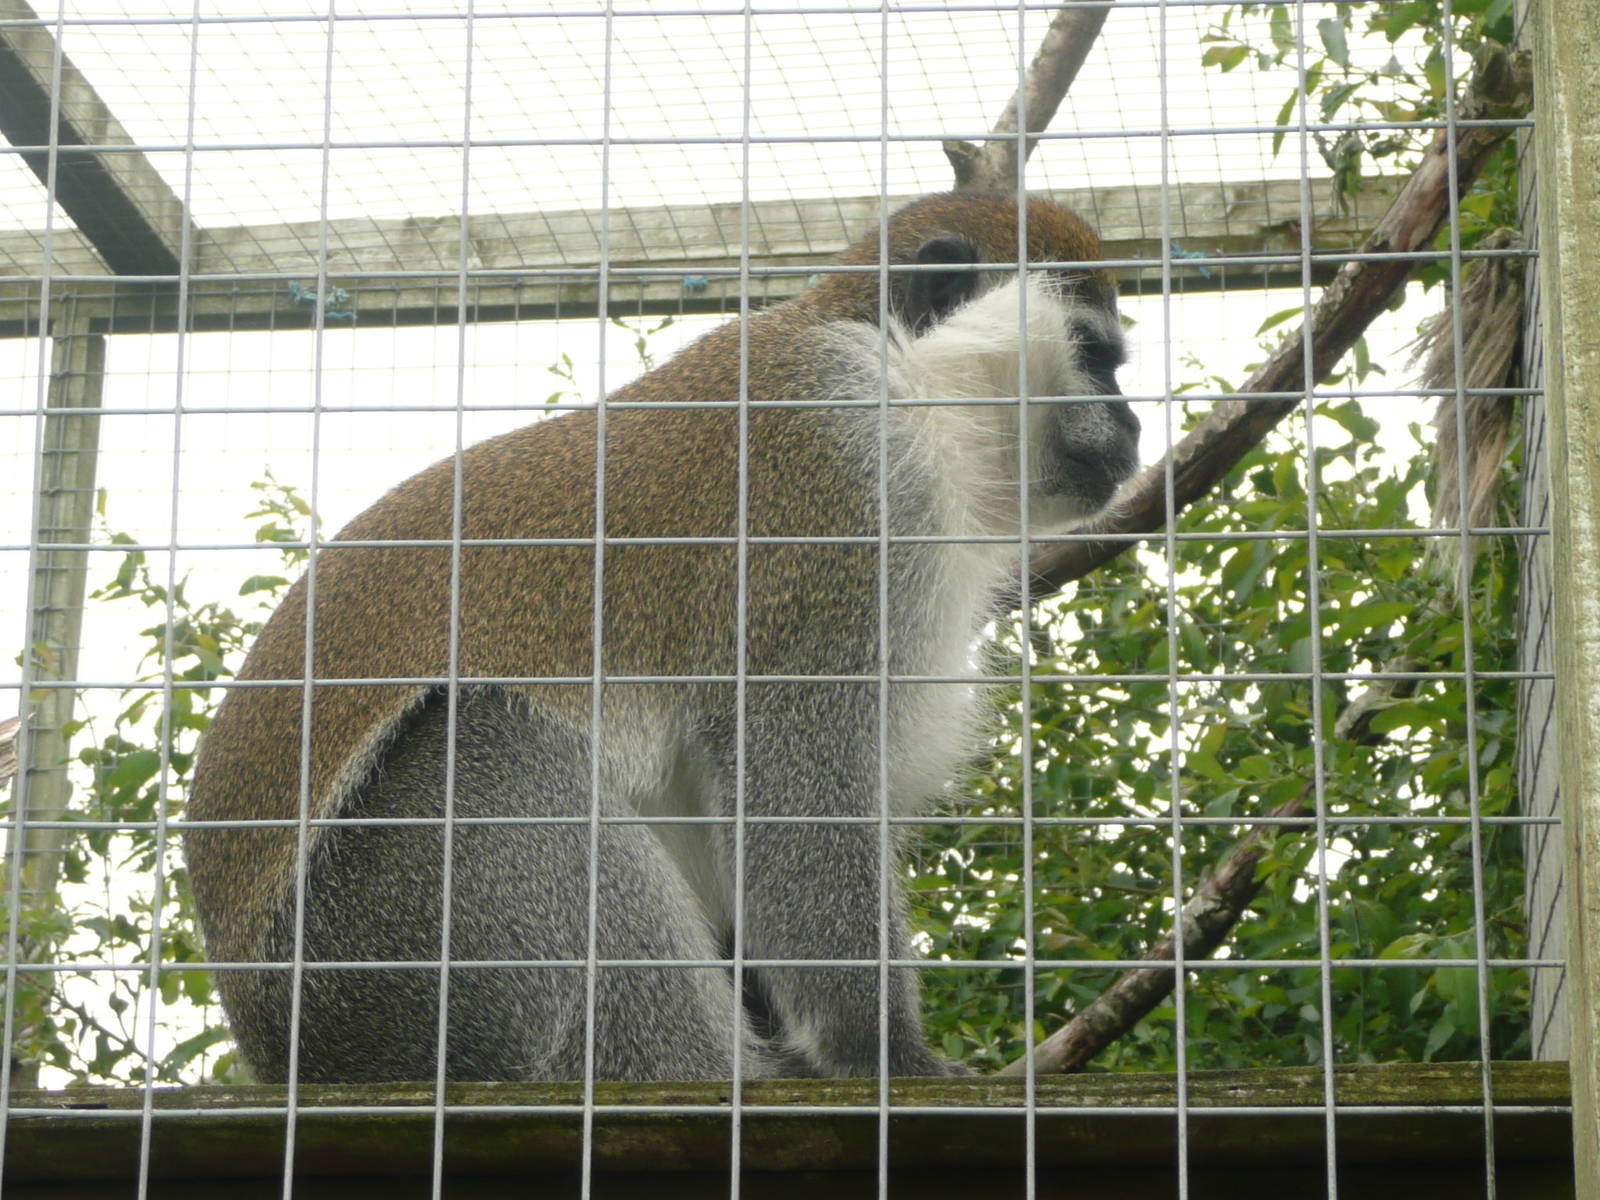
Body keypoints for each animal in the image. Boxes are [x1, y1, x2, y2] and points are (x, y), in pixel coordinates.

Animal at [184, 192, 1140, 1084]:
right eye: (1097, 358)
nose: (1132, 424)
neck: (910, 381)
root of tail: (273, 1048)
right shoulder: (838, 482)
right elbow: (791, 776)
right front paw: (889, 1055)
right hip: (377, 961)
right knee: (493, 748)